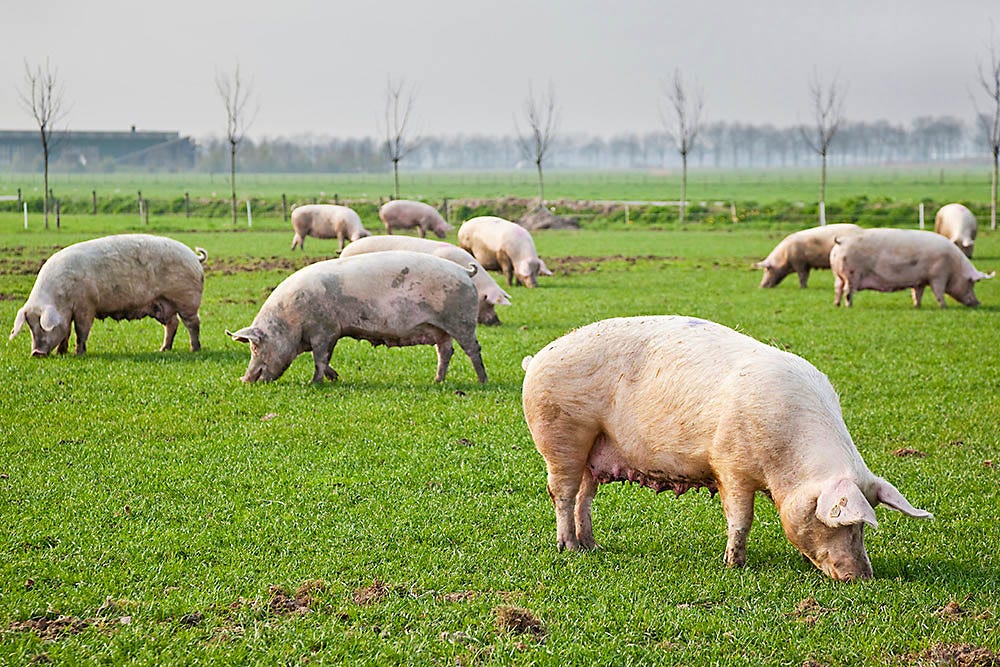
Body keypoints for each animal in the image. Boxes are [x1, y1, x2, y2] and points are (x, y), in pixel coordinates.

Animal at [10, 234, 206, 358]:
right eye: (30, 326)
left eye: (42, 326)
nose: (36, 353)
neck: (60, 298)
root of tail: (195, 258)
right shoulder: (69, 313)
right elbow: (66, 331)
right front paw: (61, 352)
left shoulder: (86, 306)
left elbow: (81, 330)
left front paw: (79, 353)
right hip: (161, 305)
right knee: (173, 323)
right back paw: (163, 349)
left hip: (187, 300)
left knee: (192, 323)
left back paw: (194, 349)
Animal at [230, 250, 488, 386]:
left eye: (255, 347)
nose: (244, 379)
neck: (290, 320)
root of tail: (465, 272)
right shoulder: (331, 332)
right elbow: (326, 358)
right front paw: (334, 378)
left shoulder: (324, 329)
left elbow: (319, 357)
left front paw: (315, 383)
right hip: (441, 328)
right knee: (446, 351)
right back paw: (437, 381)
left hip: (461, 321)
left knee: (472, 349)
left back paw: (482, 381)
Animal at [520, 316, 932, 580]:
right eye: (842, 523)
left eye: (862, 528)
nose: (862, 577)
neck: (785, 465)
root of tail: (535, 357)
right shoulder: (730, 466)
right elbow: (740, 518)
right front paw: (734, 564)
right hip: (561, 434)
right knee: (561, 492)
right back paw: (568, 548)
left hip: (595, 450)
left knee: (584, 496)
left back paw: (591, 546)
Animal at [828, 226, 992, 306]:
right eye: (972, 283)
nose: (978, 303)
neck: (954, 268)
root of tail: (840, 241)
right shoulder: (938, 275)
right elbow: (938, 291)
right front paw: (944, 306)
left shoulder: (920, 280)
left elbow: (917, 293)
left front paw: (917, 306)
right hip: (852, 274)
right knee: (847, 290)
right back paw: (849, 305)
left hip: (838, 275)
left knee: (837, 288)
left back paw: (837, 304)